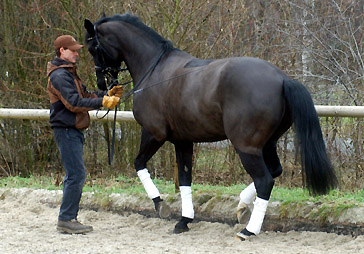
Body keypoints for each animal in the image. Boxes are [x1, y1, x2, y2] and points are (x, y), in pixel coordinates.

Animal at [84, 13, 336, 240]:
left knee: (265, 180)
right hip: (267, 144)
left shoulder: (154, 133)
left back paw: (248, 230)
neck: (155, 70)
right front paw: (184, 220)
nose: (102, 84)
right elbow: (185, 179)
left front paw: (160, 204)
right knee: (274, 171)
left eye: (94, 47)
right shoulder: (182, 140)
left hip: (246, 147)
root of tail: (282, 79)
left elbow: (138, 164)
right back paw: (242, 207)